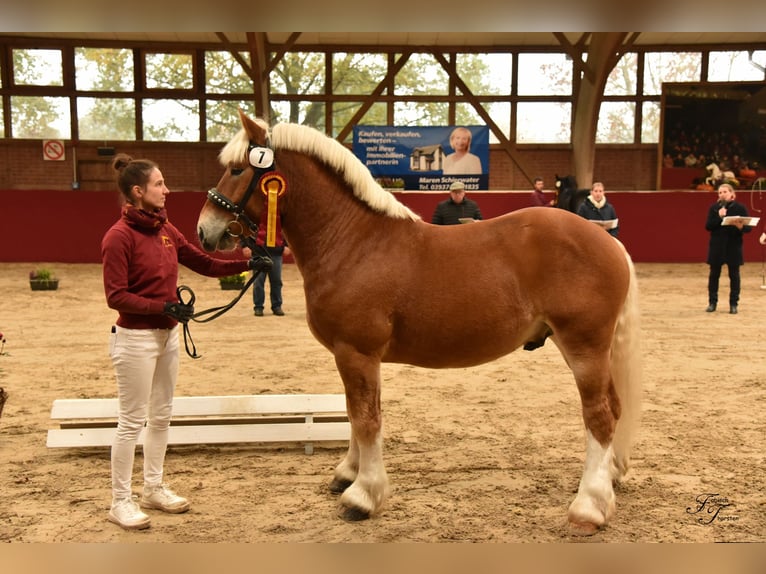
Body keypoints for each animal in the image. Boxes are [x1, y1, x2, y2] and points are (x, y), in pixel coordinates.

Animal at [196, 109, 640, 540]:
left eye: (237, 169)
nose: (205, 230)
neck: (354, 241)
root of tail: (608, 241)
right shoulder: (351, 355)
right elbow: (353, 414)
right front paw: (348, 474)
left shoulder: (357, 352)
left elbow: (366, 419)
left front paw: (363, 496)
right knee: (615, 408)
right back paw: (610, 480)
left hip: (584, 347)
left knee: (600, 416)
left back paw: (588, 507)